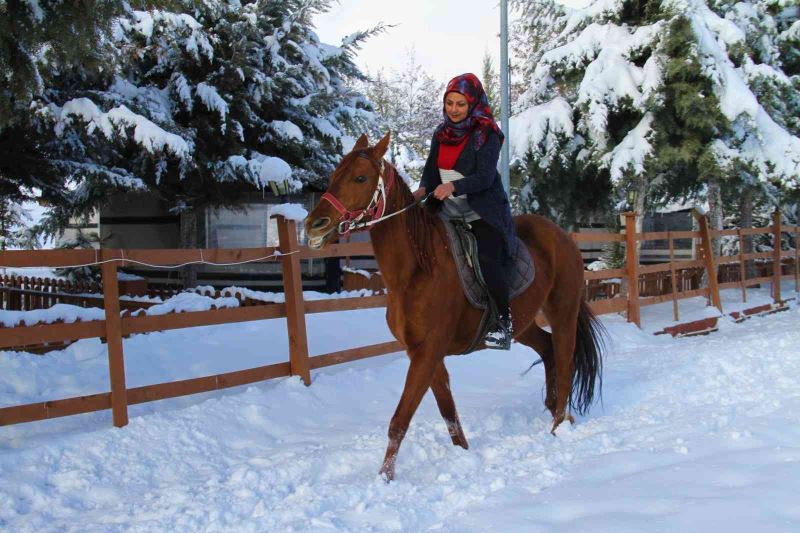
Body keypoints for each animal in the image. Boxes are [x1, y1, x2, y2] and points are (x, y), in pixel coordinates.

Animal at [304, 132, 604, 478]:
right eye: (333, 176)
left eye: (360, 178)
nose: (314, 225)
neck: (417, 270)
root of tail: (563, 236)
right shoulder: (423, 353)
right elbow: (448, 412)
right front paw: (463, 453)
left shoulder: (428, 352)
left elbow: (399, 420)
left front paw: (385, 478)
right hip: (523, 323)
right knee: (548, 349)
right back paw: (556, 411)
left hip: (563, 311)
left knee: (566, 360)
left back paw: (557, 425)